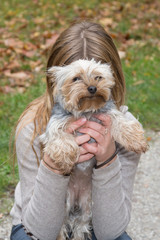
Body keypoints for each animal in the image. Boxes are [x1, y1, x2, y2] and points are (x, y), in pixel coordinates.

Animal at [39, 58, 148, 240]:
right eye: (76, 78)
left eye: (98, 77)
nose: (92, 88)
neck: (86, 112)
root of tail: (76, 199)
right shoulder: (54, 126)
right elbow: (60, 139)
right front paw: (65, 160)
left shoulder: (109, 115)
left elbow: (122, 122)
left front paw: (136, 140)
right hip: (63, 206)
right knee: (61, 228)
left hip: (88, 207)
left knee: (80, 227)